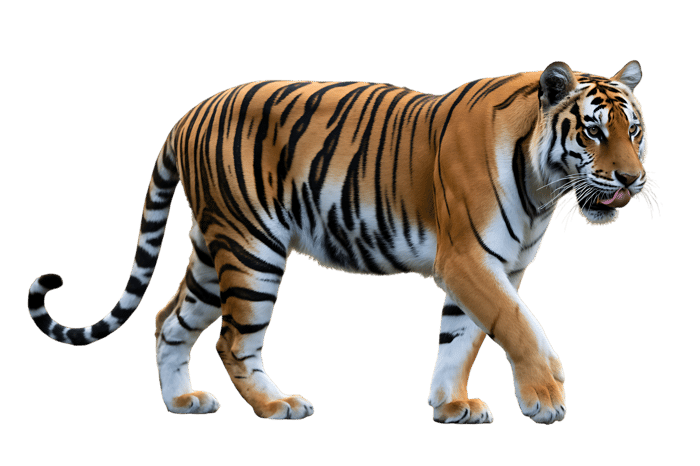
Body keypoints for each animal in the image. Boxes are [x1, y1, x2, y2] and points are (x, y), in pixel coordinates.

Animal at [27, 60, 657, 424]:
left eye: (634, 130)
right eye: (593, 130)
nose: (630, 179)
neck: (543, 187)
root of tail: (189, 114)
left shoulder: (497, 267)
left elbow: (462, 338)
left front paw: (451, 405)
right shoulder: (469, 259)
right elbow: (518, 325)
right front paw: (545, 396)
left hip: (213, 250)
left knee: (168, 321)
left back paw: (182, 401)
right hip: (252, 249)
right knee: (232, 342)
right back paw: (276, 406)